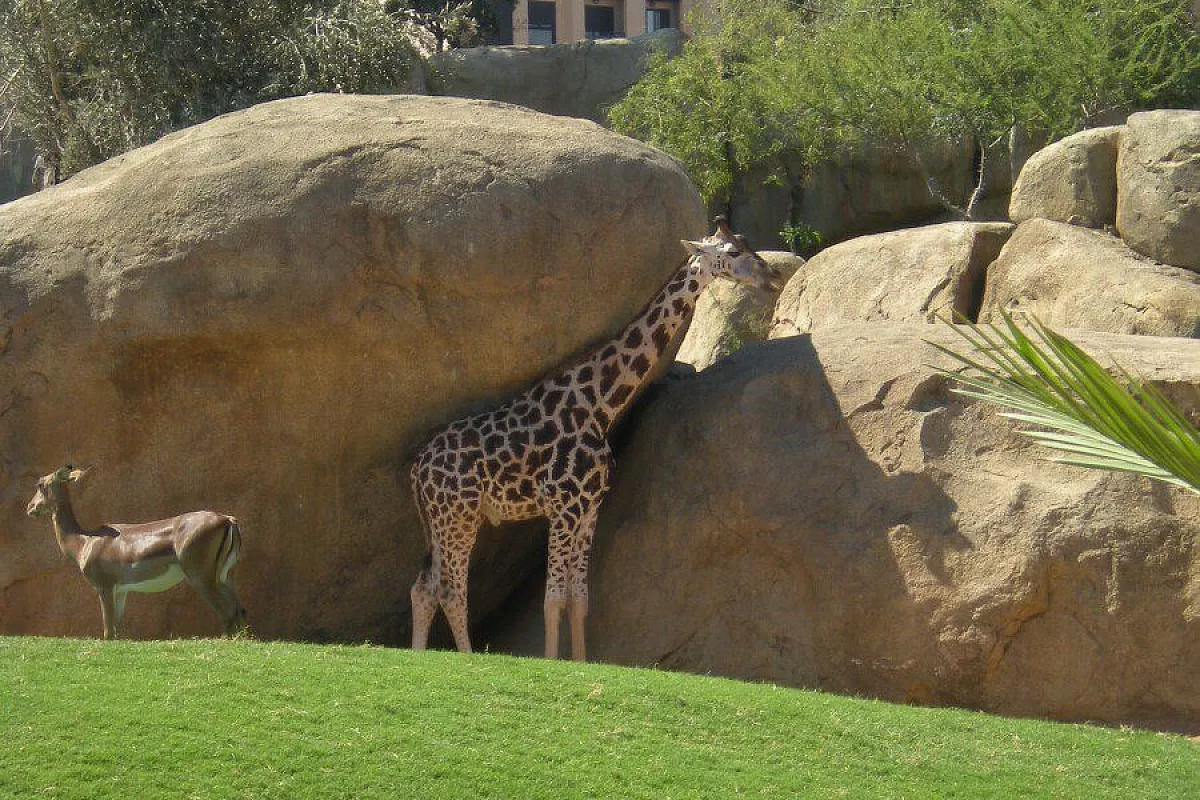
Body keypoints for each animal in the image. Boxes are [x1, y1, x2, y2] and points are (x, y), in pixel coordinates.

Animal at [409, 218, 782, 661]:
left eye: (746, 245)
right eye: (734, 252)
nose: (773, 276)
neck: (599, 407)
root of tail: (416, 469)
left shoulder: (589, 511)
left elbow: (578, 598)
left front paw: (582, 663)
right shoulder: (563, 507)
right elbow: (553, 598)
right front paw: (551, 663)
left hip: (442, 520)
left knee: (424, 587)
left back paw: (417, 655)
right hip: (459, 515)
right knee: (449, 590)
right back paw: (464, 658)